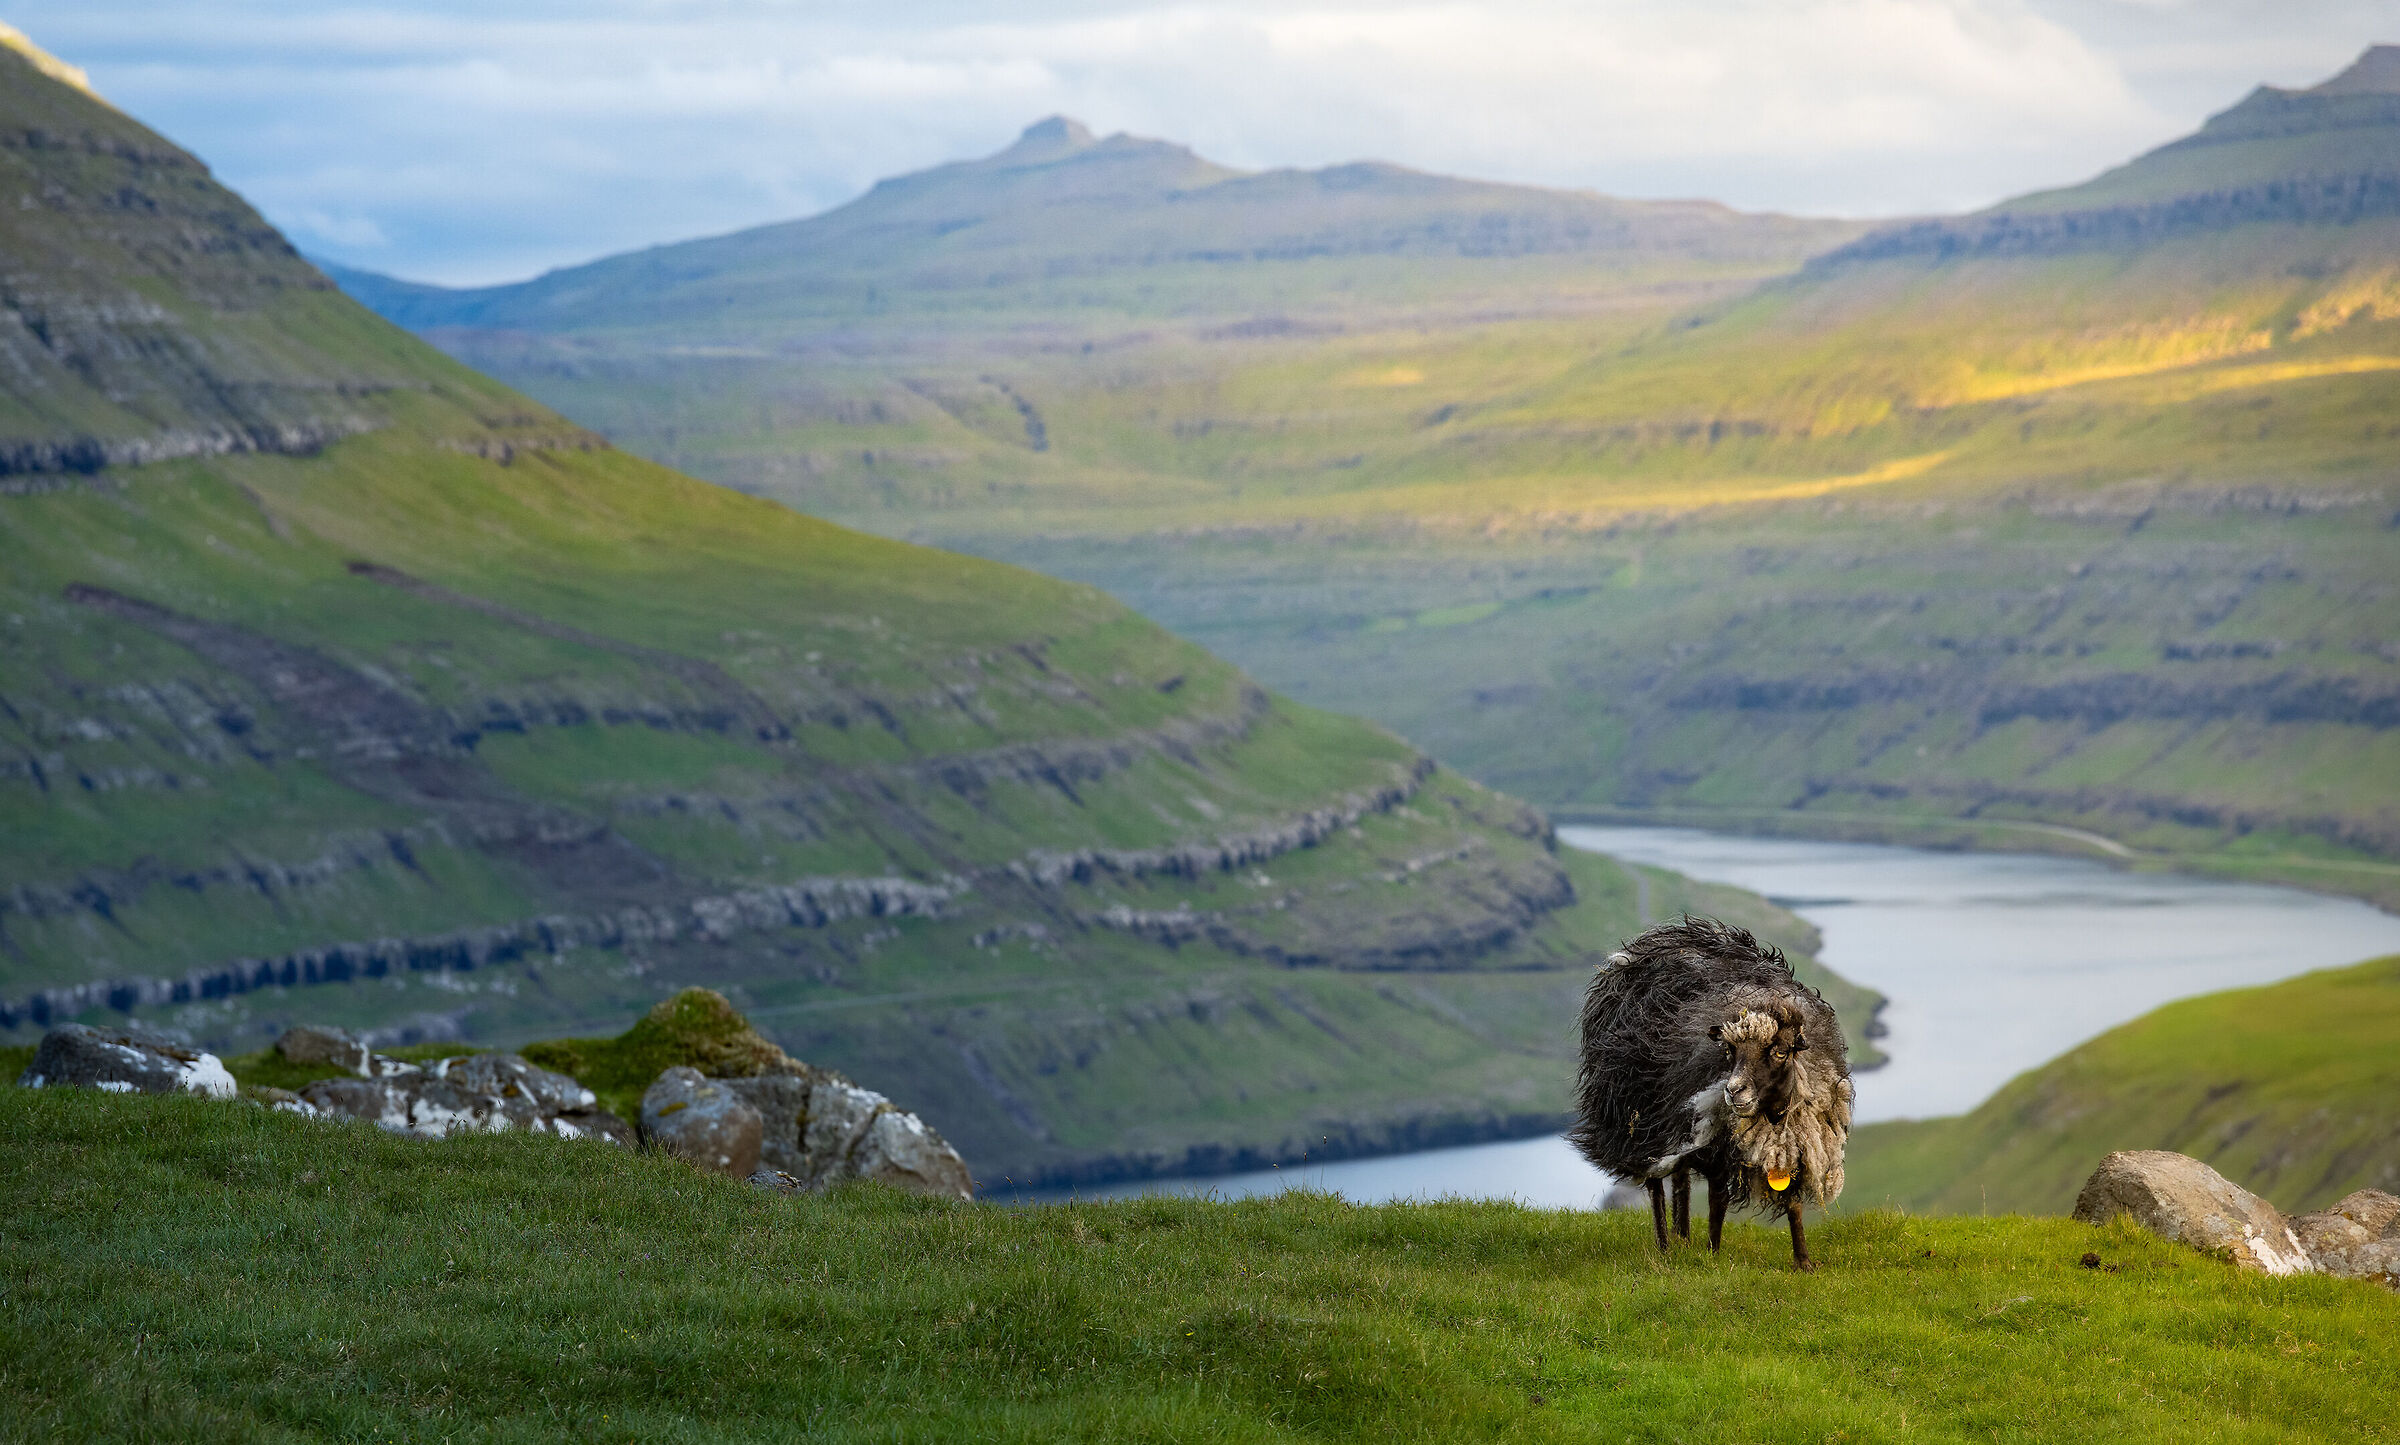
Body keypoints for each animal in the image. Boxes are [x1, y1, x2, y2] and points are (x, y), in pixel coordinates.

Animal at [1568, 916, 1853, 1270]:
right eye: (1729, 1051)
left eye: (1780, 1052)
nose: (1733, 1091)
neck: (1771, 1117)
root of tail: (1653, 941)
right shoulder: (1717, 1145)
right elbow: (1717, 1201)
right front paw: (1713, 1255)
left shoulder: (1791, 1143)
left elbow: (1792, 1204)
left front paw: (1804, 1263)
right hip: (1641, 1116)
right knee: (1655, 1183)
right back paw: (1665, 1244)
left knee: (1680, 1180)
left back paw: (1682, 1235)